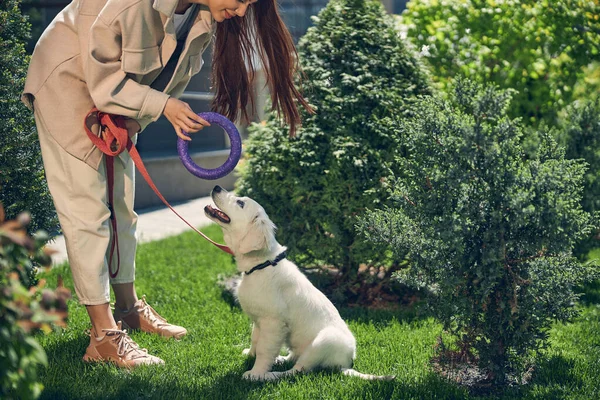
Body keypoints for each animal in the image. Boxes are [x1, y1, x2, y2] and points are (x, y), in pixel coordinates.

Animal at [204, 185, 396, 382]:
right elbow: (255, 339)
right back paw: (280, 359)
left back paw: (271, 374)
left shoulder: (273, 323)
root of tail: (345, 364)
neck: (262, 264)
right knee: (294, 358)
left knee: (298, 370)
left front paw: (256, 373)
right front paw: (250, 355)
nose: (216, 187)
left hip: (324, 341)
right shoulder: (259, 320)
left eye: (240, 203)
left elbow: (264, 349)